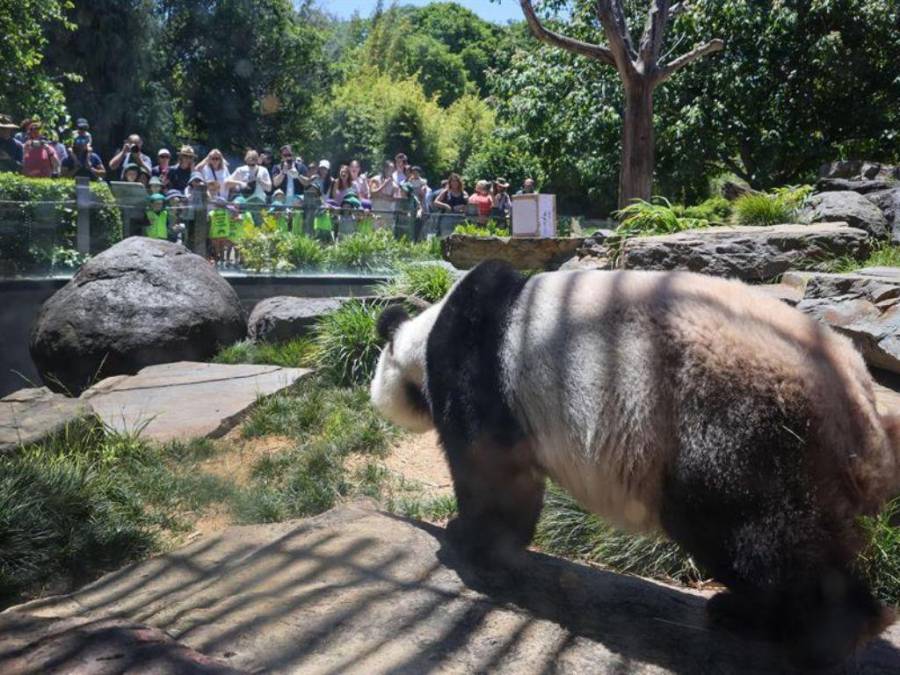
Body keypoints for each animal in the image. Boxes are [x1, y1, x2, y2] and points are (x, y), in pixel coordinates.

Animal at [368, 258, 900, 664]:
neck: (426, 336)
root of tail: (860, 404)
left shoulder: (478, 369)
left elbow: (492, 470)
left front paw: (467, 537)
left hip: (740, 427)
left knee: (761, 535)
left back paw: (803, 632)